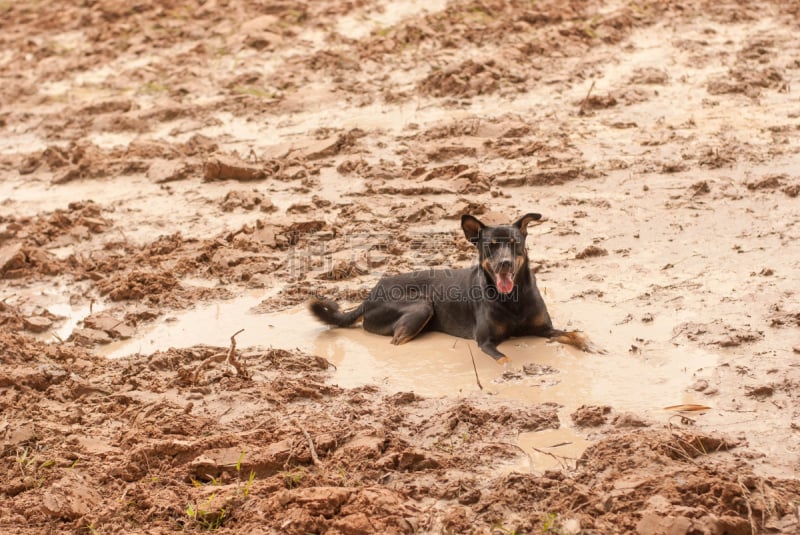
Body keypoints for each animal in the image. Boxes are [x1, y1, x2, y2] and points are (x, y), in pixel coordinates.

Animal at [310, 214, 592, 364]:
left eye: (515, 243)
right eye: (490, 246)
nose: (505, 263)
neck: (513, 297)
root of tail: (369, 296)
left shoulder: (543, 329)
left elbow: (573, 334)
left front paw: (591, 346)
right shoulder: (485, 342)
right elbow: (505, 359)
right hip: (421, 307)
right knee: (396, 341)